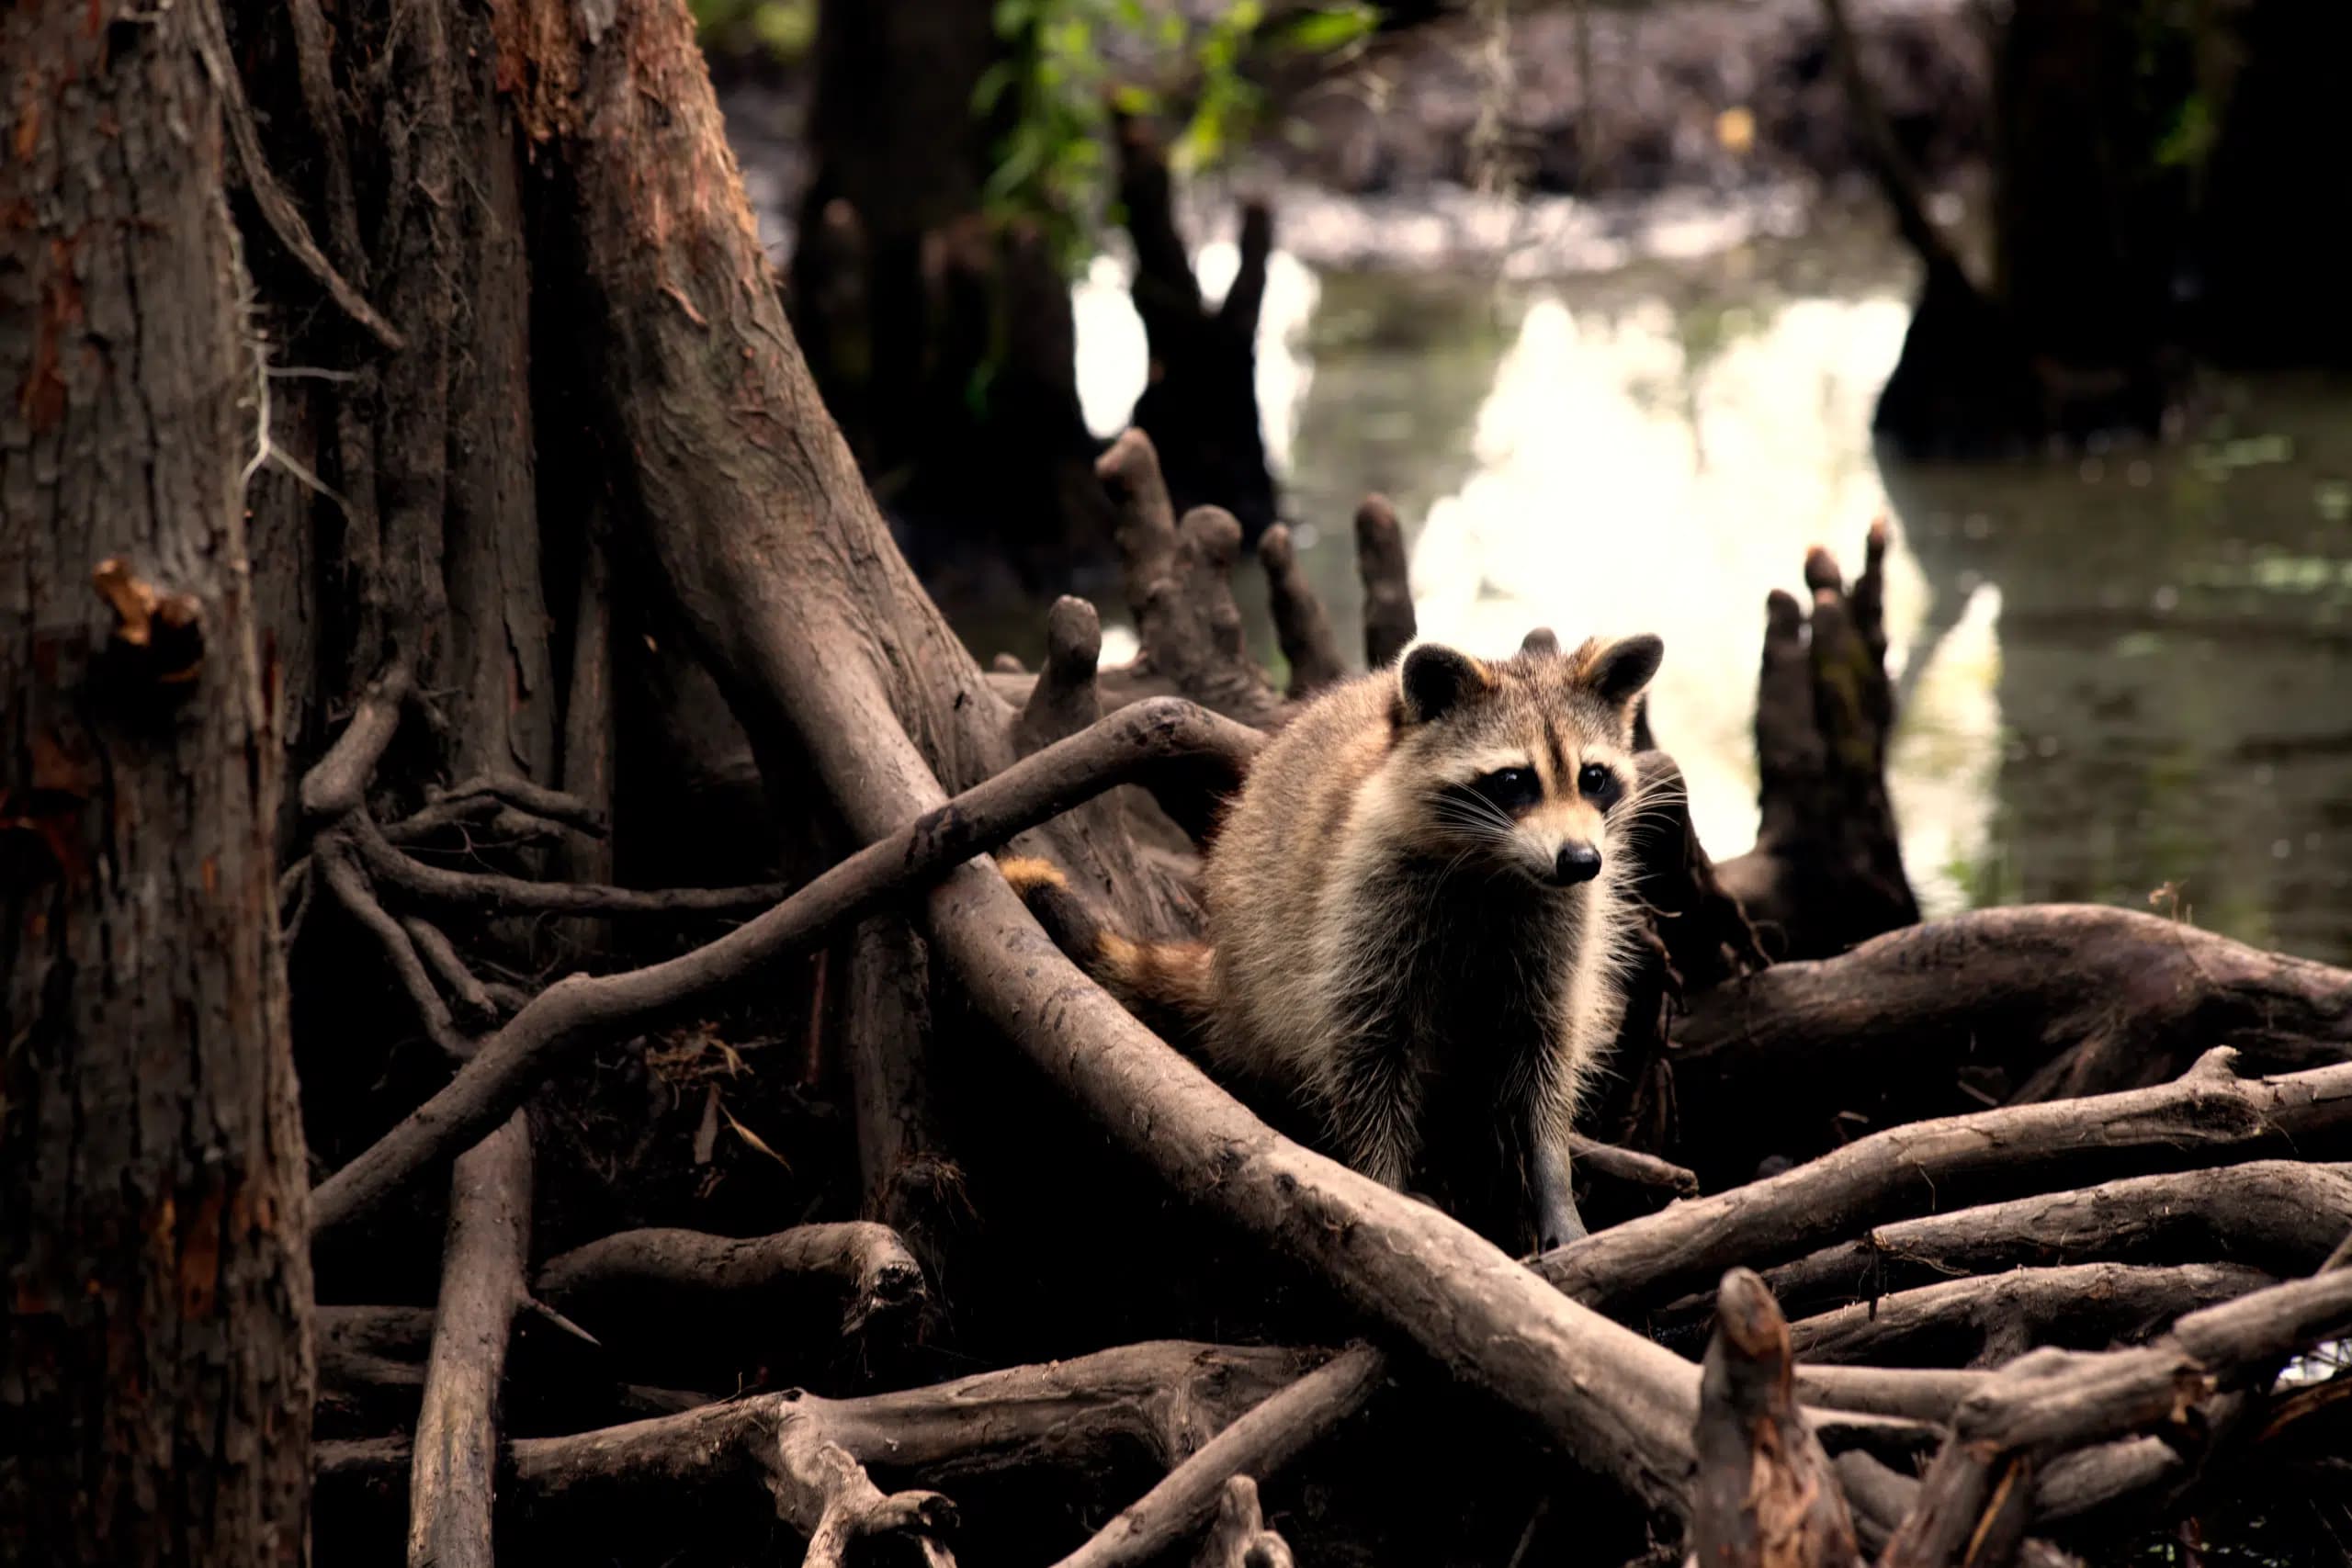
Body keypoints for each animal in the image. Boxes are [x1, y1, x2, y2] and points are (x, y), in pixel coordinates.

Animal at [1001, 629, 1665, 1259]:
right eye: (1513, 781)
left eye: (1593, 777)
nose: (1580, 861)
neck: (1493, 868)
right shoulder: (1363, 903)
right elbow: (1364, 1049)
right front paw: (1387, 1190)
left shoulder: (1558, 925)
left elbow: (1543, 1056)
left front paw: (1551, 1181)